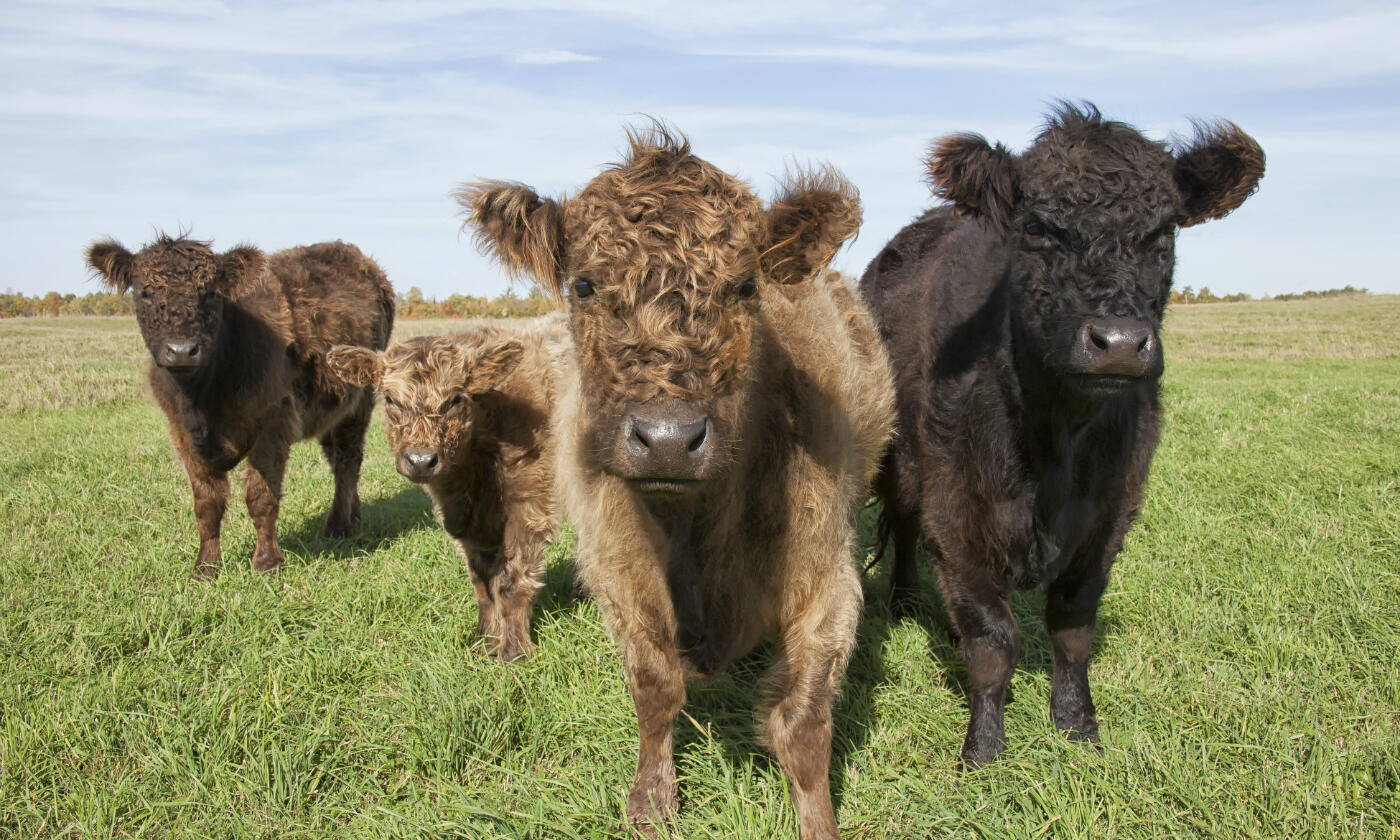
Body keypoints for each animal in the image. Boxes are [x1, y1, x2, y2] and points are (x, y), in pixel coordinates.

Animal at [85, 236, 394, 576]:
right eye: (145, 291)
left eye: (209, 292)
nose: (181, 350)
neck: (203, 399)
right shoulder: (181, 433)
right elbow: (207, 503)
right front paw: (206, 566)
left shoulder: (273, 423)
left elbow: (260, 496)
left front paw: (267, 561)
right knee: (336, 458)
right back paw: (354, 513)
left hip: (359, 403)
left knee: (348, 462)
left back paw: (338, 525)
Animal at [327, 315, 568, 663]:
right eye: (389, 399)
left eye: (455, 398)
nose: (421, 460)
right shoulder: (466, 521)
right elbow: (482, 582)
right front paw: (485, 642)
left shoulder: (530, 504)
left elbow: (512, 578)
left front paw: (514, 652)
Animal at [459, 124, 896, 840]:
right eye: (583, 285)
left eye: (745, 286)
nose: (667, 437)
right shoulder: (619, 569)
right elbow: (655, 685)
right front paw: (651, 797)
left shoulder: (827, 576)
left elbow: (802, 724)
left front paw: (819, 823)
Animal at [856, 103, 1265, 767]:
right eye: (1039, 229)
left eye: (1164, 234)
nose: (1118, 344)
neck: (1057, 443)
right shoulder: (958, 512)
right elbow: (992, 640)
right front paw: (984, 748)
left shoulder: (1109, 517)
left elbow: (1073, 628)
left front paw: (1077, 724)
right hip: (899, 458)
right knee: (905, 524)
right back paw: (907, 601)